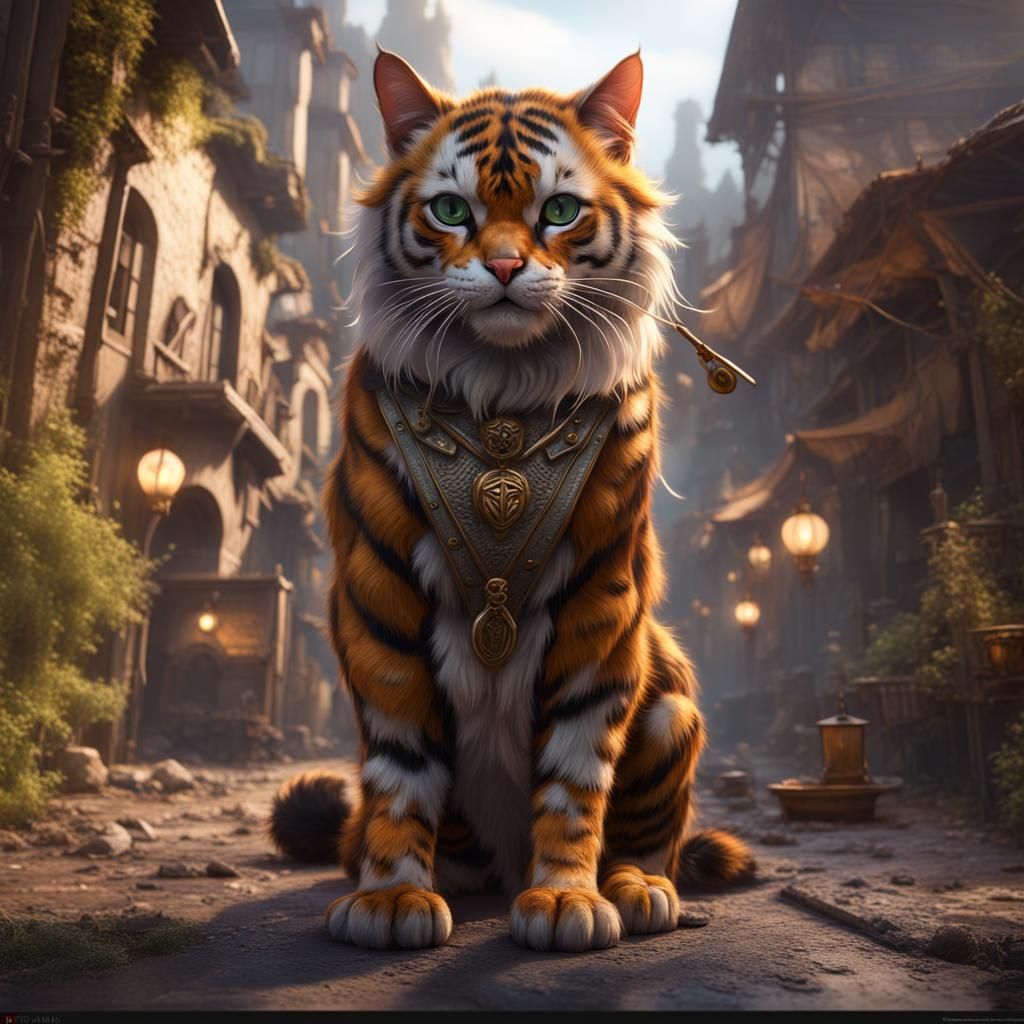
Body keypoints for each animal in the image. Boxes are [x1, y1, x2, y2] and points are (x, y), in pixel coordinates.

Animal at [269, 48, 754, 954]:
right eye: (451, 210)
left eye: (558, 211)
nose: (501, 268)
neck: (503, 389)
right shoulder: (379, 596)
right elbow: (399, 768)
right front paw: (392, 896)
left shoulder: (602, 606)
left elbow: (576, 773)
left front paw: (565, 899)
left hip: (671, 700)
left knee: (652, 836)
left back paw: (639, 888)